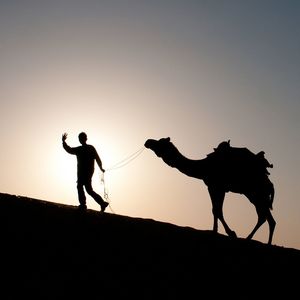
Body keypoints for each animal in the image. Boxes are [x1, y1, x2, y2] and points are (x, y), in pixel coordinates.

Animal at [145, 137, 276, 245]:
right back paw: (260, 241)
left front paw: (231, 233)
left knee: (265, 217)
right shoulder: (211, 187)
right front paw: (215, 231)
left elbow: (218, 210)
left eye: (161, 142)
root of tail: (270, 183)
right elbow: (215, 210)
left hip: (257, 193)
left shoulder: (218, 187)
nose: (148, 141)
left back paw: (255, 240)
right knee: (266, 218)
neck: (203, 166)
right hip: (254, 195)